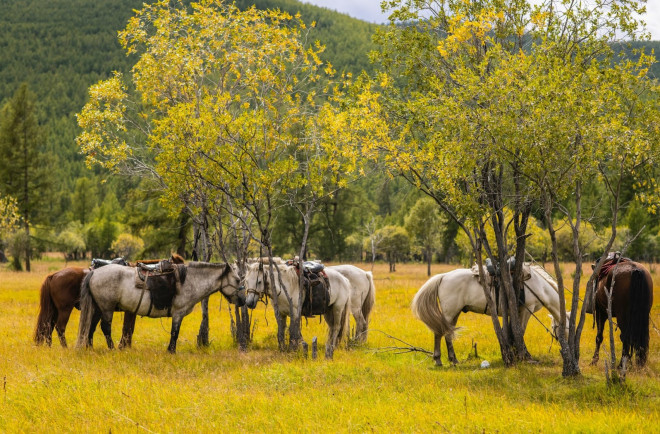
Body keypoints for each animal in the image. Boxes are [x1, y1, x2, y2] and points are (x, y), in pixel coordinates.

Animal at [34, 254, 186, 350]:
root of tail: (53, 275)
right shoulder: (130, 311)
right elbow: (127, 329)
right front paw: (123, 347)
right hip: (65, 309)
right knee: (59, 327)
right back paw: (65, 347)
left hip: (54, 310)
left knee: (48, 327)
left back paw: (50, 346)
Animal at [75, 262, 245, 352]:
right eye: (237, 280)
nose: (243, 300)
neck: (189, 281)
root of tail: (94, 273)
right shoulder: (178, 313)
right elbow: (175, 333)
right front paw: (171, 351)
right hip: (106, 308)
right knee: (105, 328)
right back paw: (112, 349)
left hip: (98, 308)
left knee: (91, 327)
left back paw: (90, 348)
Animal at [410, 264, 564, 366]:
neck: (539, 285)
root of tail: (444, 276)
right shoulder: (527, 310)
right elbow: (520, 331)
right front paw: (525, 355)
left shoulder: (515, 313)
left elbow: (513, 332)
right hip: (450, 312)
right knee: (440, 333)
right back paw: (440, 360)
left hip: (455, 313)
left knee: (447, 333)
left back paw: (451, 359)